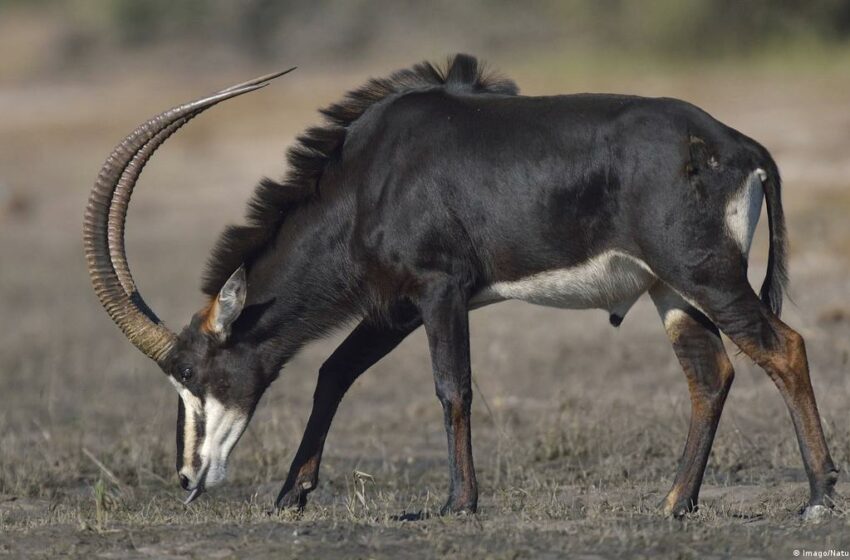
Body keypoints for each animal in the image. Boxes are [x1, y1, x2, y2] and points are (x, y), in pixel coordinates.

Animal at [84, 54, 836, 520]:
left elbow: (453, 387)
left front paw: (459, 502)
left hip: (704, 275)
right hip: (671, 291)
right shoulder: (395, 307)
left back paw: (818, 496)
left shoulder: (439, 289)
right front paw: (291, 494)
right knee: (711, 375)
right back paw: (676, 503)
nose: (188, 478)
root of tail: (740, 146)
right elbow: (333, 374)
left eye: (192, 372)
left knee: (784, 347)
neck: (366, 175)